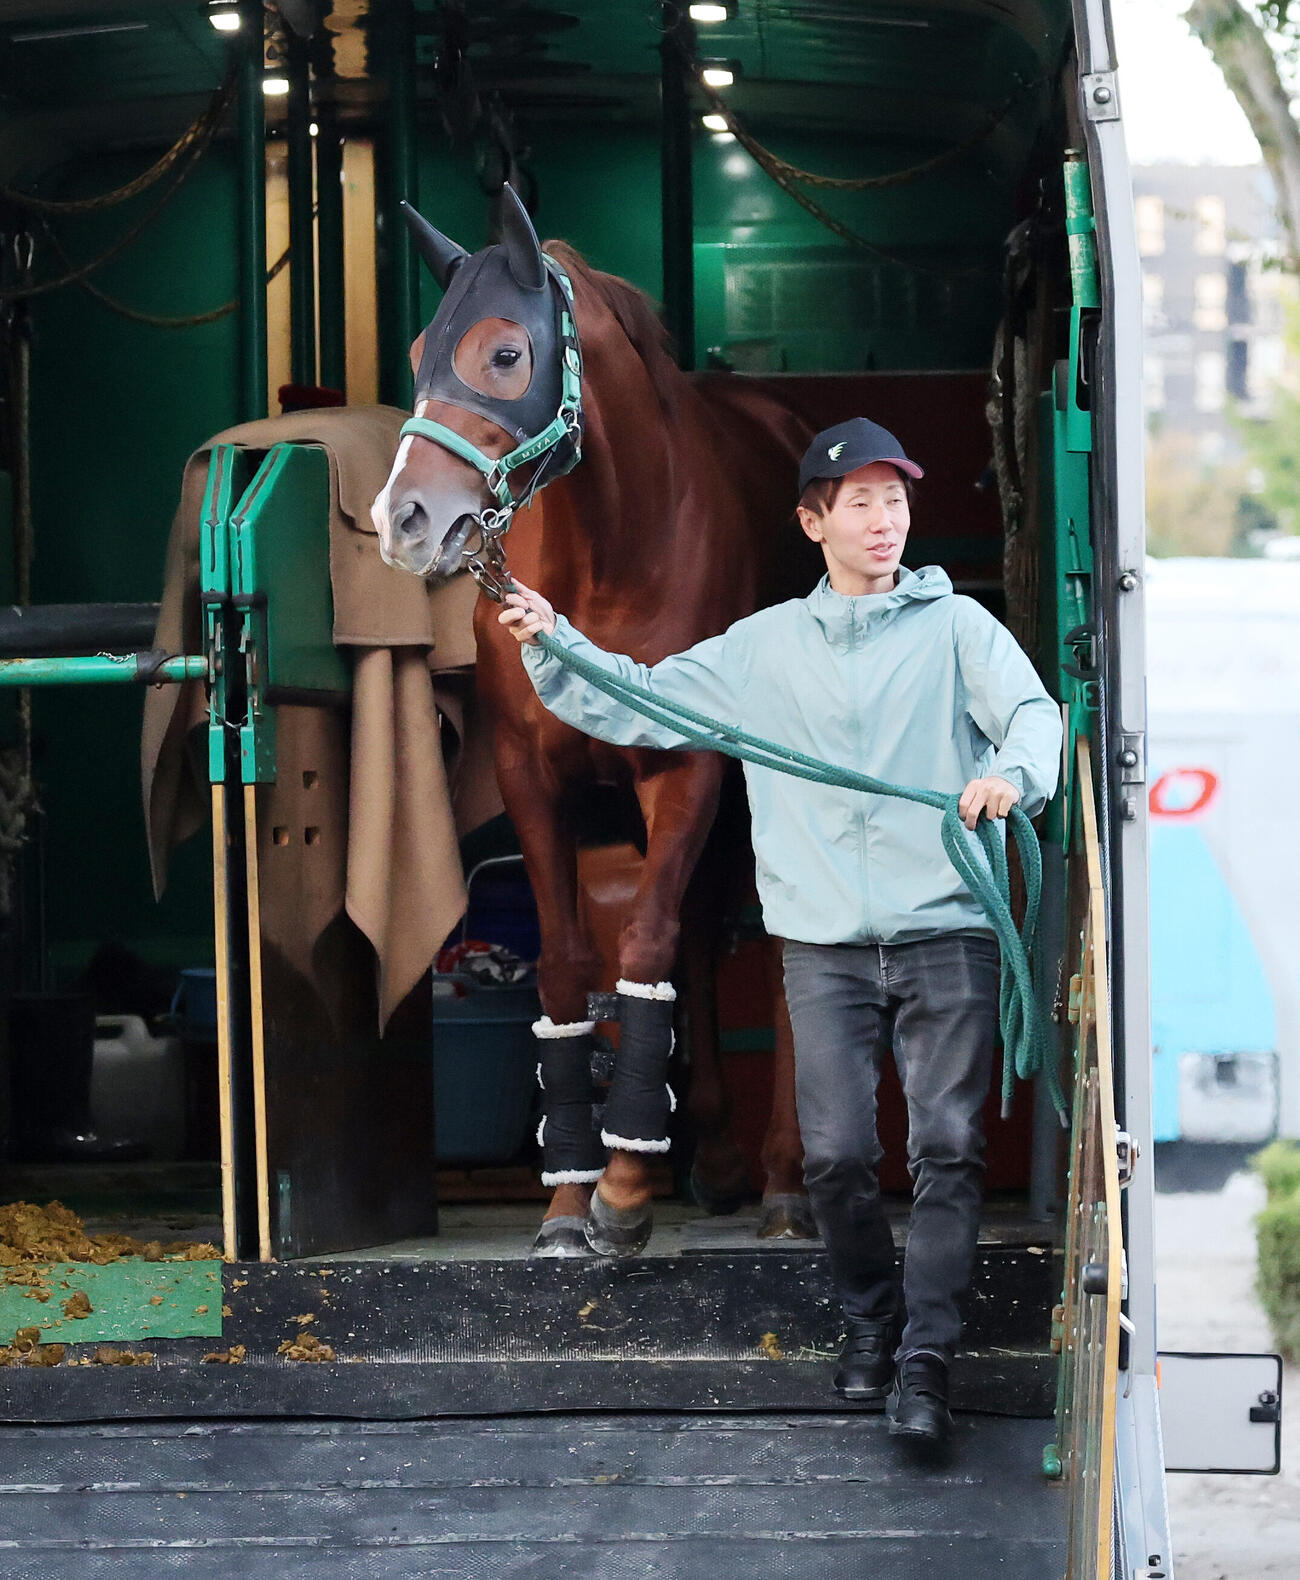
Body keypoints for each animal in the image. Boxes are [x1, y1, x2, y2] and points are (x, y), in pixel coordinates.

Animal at [371, 184, 816, 1255]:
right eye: (417, 352)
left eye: (504, 353)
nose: (402, 519)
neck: (615, 551)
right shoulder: (533, 777)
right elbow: (574, 965)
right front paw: (570, 1201)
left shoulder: (689, 767)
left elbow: (646, 942)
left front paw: (622, 1188)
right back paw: (717, 1159)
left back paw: (783, 1180)